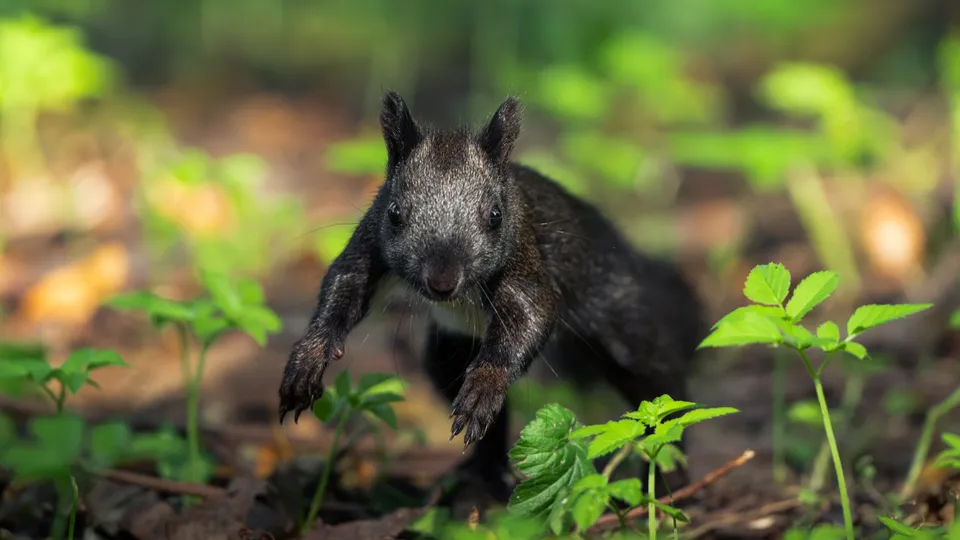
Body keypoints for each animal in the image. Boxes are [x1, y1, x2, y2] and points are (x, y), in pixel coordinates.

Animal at [278, 91, 705, 511]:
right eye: (395, 213)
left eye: (496, 215)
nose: (442, 282)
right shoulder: (370, 241)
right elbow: (345, 282)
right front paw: (308, 359)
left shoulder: (525, 253)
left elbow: (534, 312)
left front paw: (487, 381)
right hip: (450, 351)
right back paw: (488, 470)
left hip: (618, 312)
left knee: (655, 376)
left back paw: (672, 467)